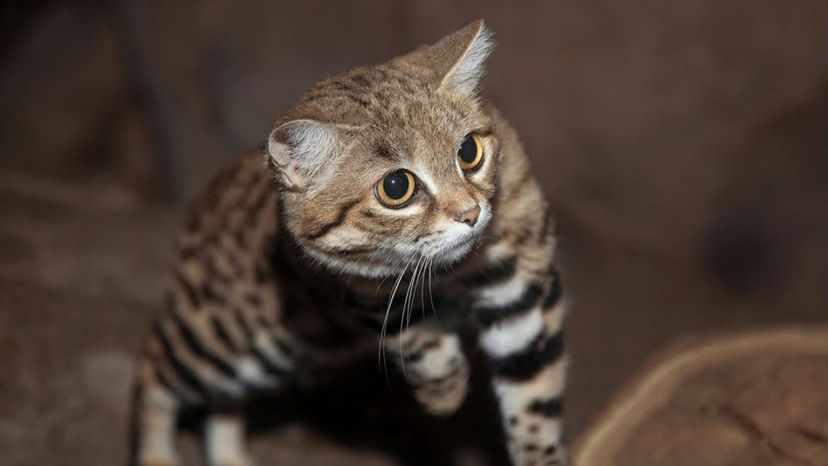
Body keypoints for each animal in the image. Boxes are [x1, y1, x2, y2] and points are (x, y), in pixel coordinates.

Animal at [131, 19, 568, 466]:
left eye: (468, 151)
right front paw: (445, 395)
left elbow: (535, 405)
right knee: (154, 360)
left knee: (221, 401)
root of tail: (201, 203)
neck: (451, 273)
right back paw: (157, 455)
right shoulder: (365, 295)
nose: (471, 214)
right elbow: (420, 342)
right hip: (232, 340)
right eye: (396, 187)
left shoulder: (524, 293)